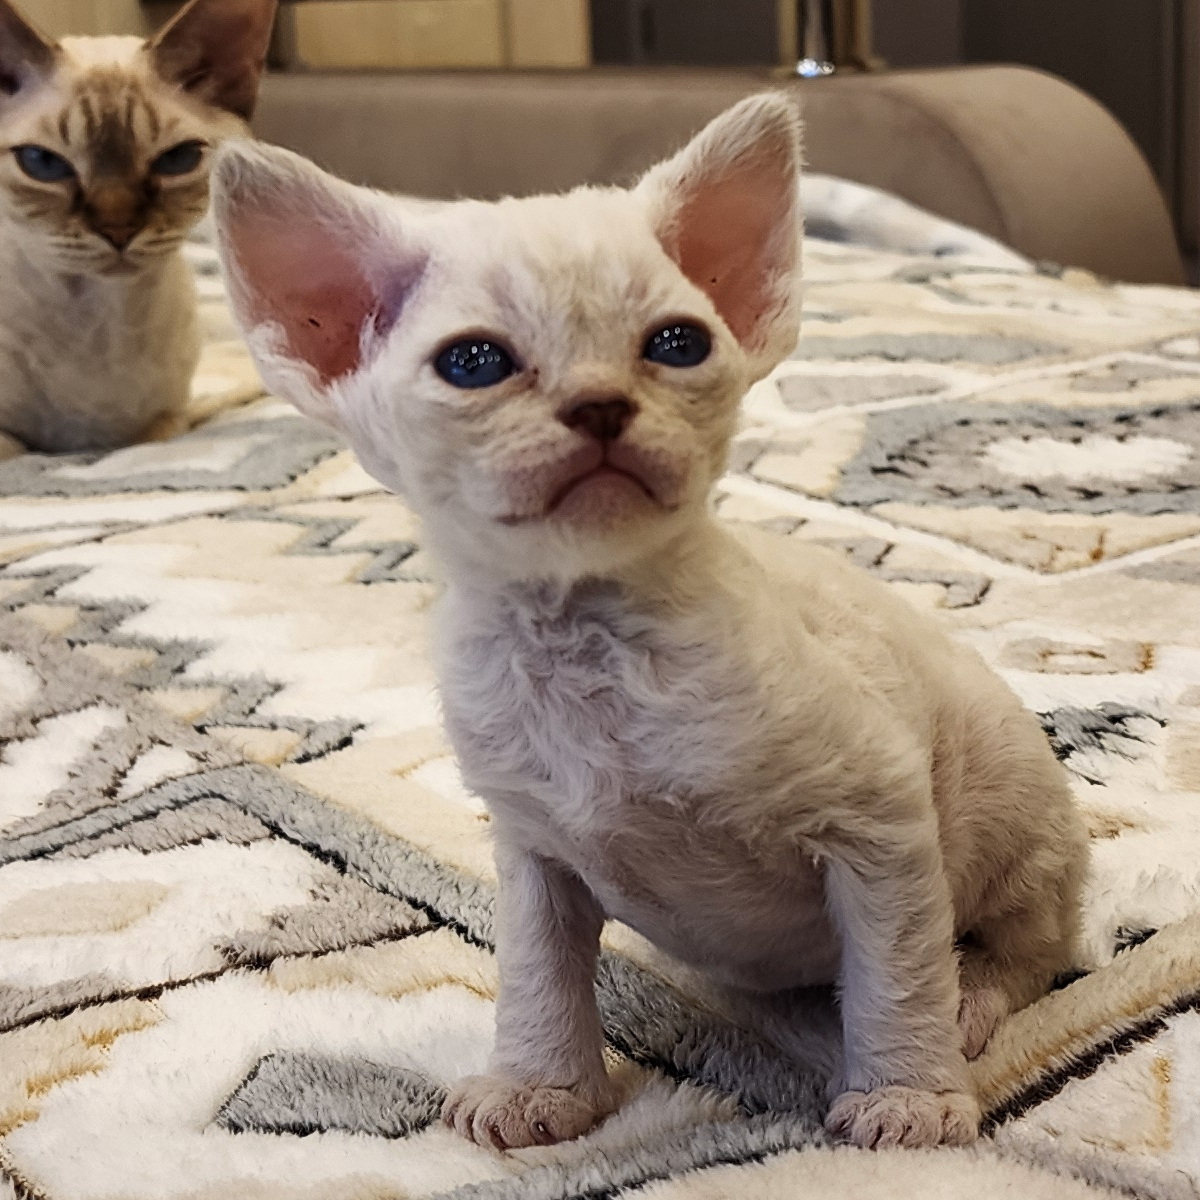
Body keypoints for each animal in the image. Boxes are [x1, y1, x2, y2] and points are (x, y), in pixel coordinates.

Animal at [0, 0, 275, 457]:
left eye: (178, 160)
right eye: (42, 163)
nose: (118, 229)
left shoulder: (169, 420)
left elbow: (158, 436)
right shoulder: (13, 440)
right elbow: (15, 449)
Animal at [208, 94, 1089, 1152]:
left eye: (676, 346)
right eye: (474, 363)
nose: (599, 404)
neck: (590, 648)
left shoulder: (882, 827)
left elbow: (898, 975)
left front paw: (908, 1095)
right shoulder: (534, 855)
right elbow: (537, 977)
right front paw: (540, 1089)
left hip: (1017, 823)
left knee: (1030, 949)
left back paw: (969, 1002)